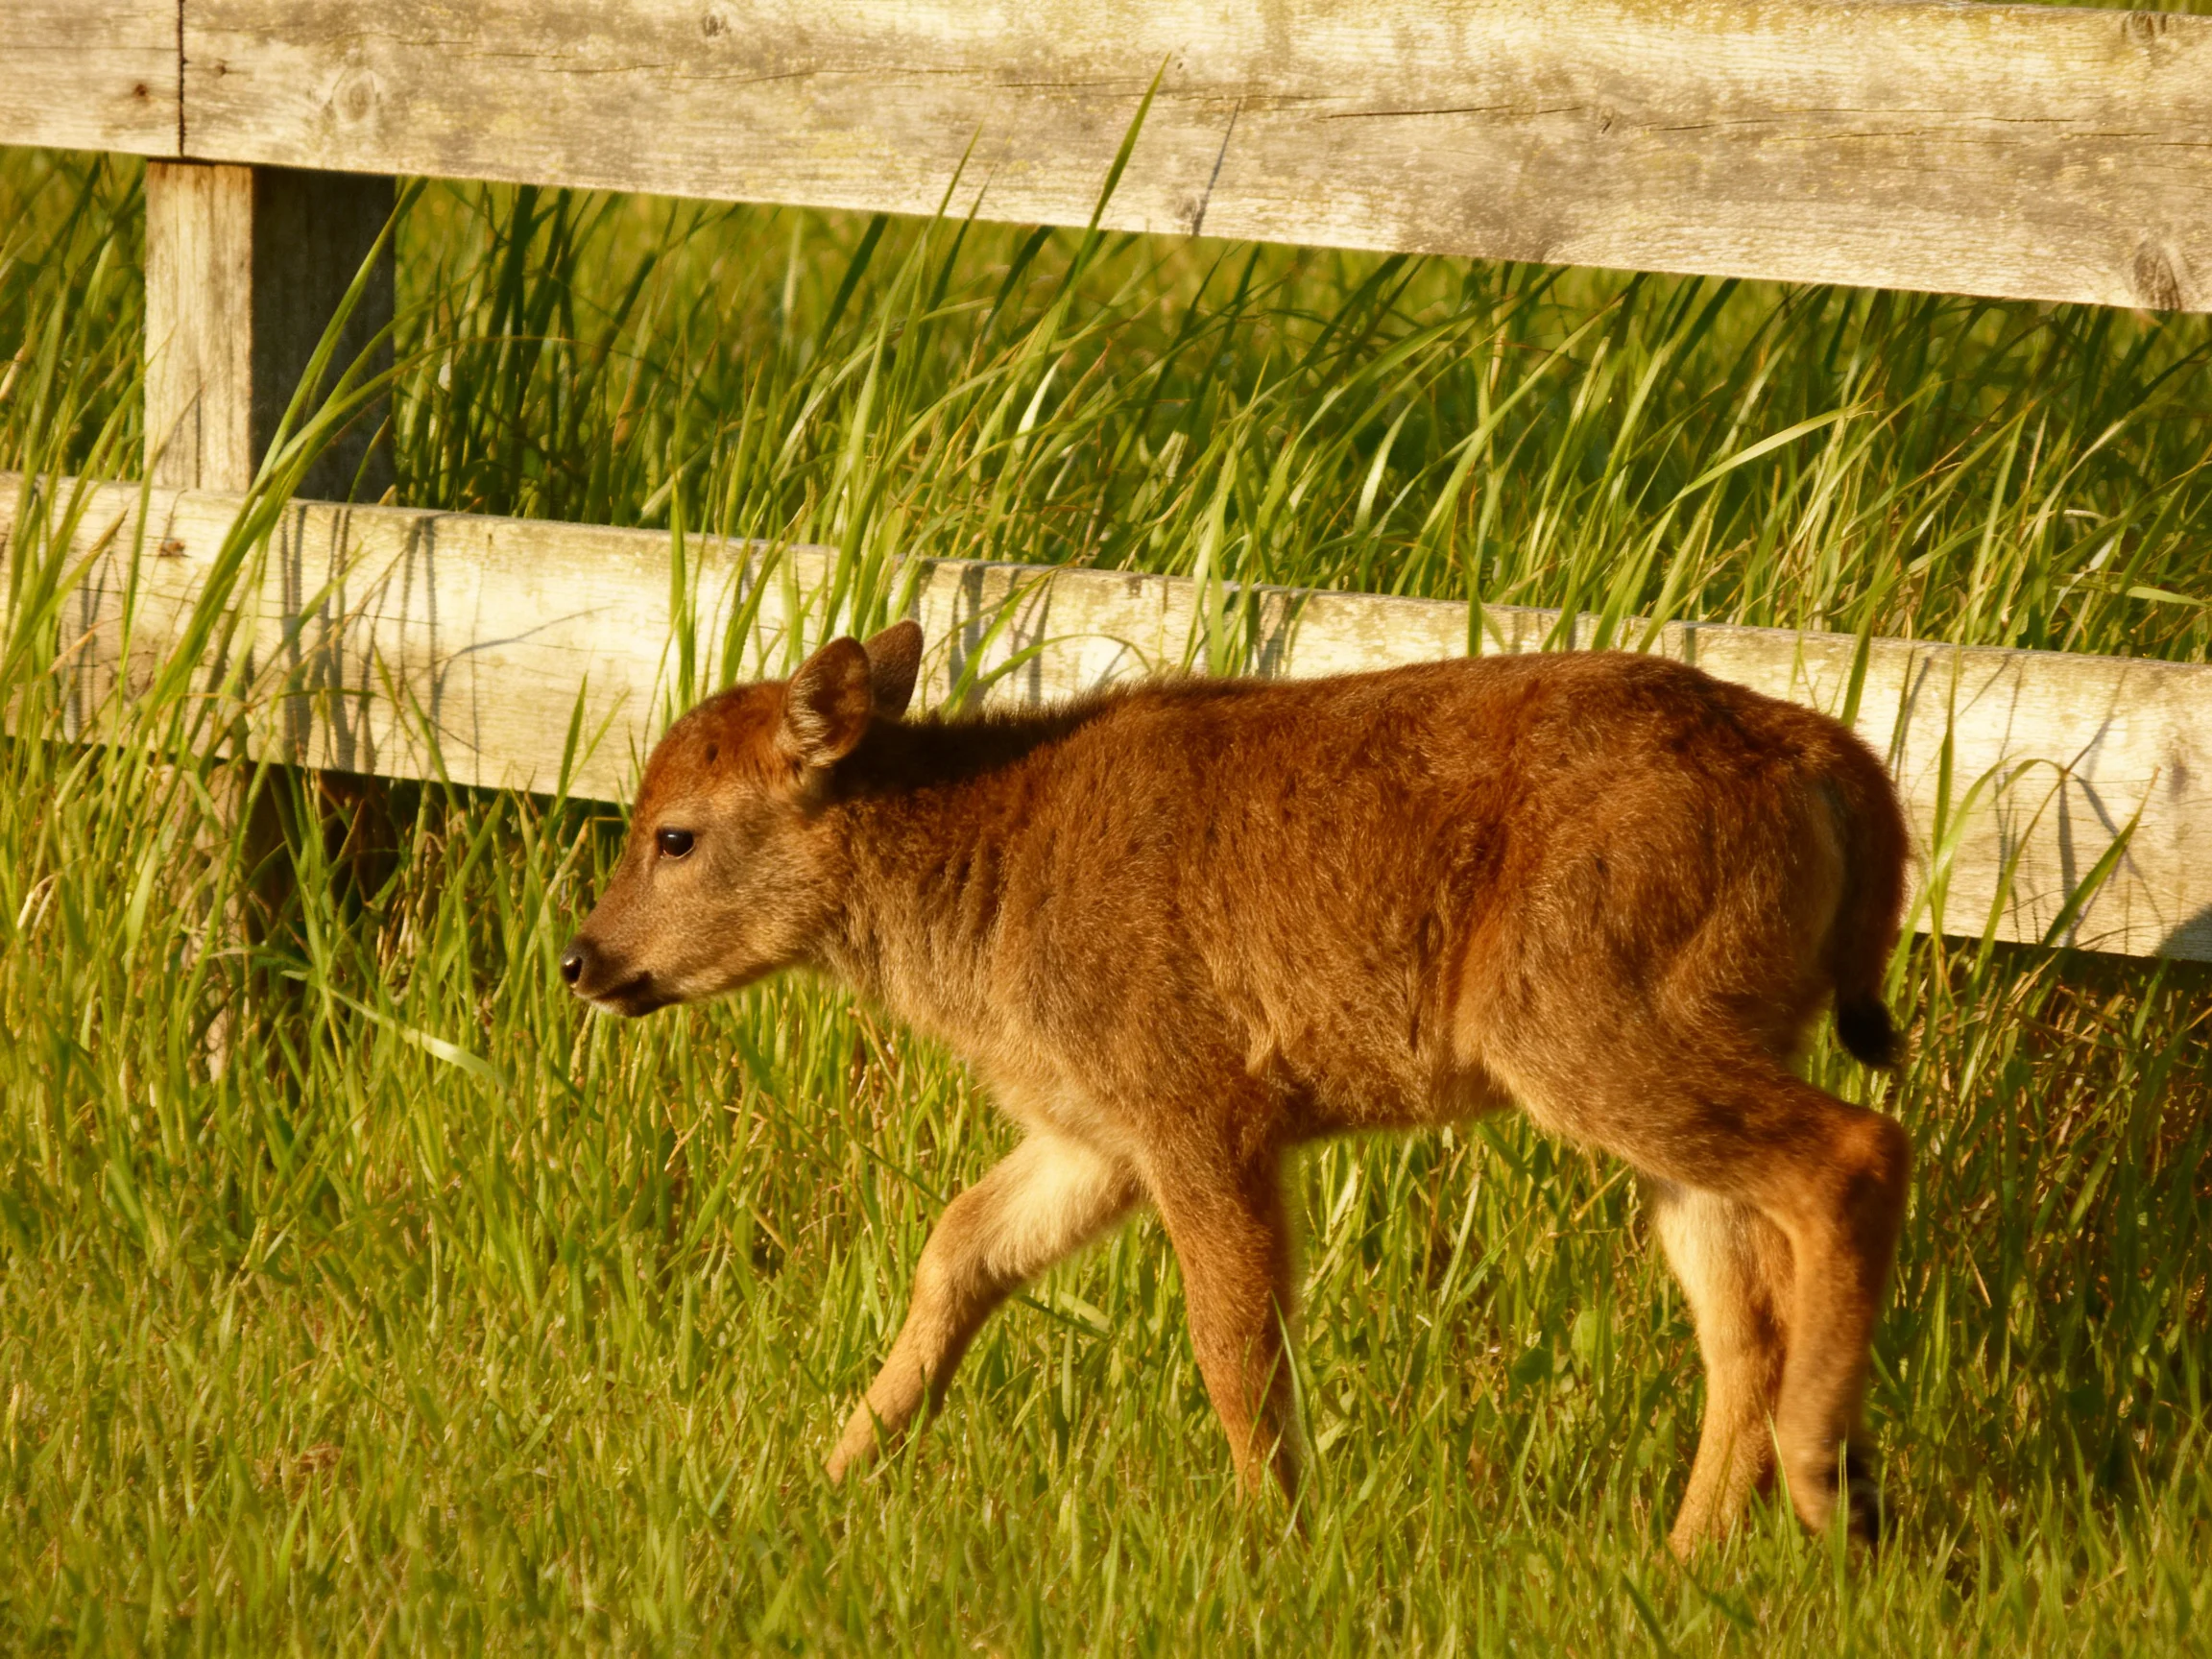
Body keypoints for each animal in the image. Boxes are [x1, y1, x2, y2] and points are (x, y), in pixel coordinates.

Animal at [560, 618, 1912, 1556]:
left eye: (676, 835)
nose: (584, 959)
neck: (994, 876)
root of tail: (1830, 761)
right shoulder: (1091, 1139)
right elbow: (959, 1249)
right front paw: (831, 1476)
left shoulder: (1200, 1109)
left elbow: (1232, 1338)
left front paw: (1275, 1546)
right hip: (1684, 1057)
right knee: (1741, 1315)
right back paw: (1687, 1559)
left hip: (1590, 1029)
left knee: (1854, 1154)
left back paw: (1820, 1482)